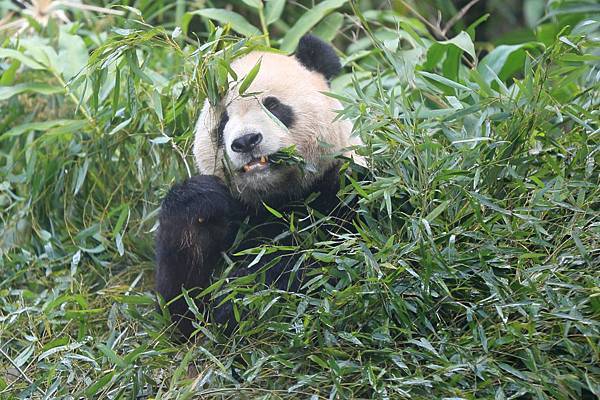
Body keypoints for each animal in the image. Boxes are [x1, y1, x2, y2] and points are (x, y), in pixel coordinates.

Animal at [156, 36, 360, 340]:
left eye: (272, 105)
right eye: (223, 122)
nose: (246, 141)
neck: (277, 198)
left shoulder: (348, 188)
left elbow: (331, 261)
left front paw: (240, 294)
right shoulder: (235, 216)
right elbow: (182, 311)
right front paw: (198, 199)